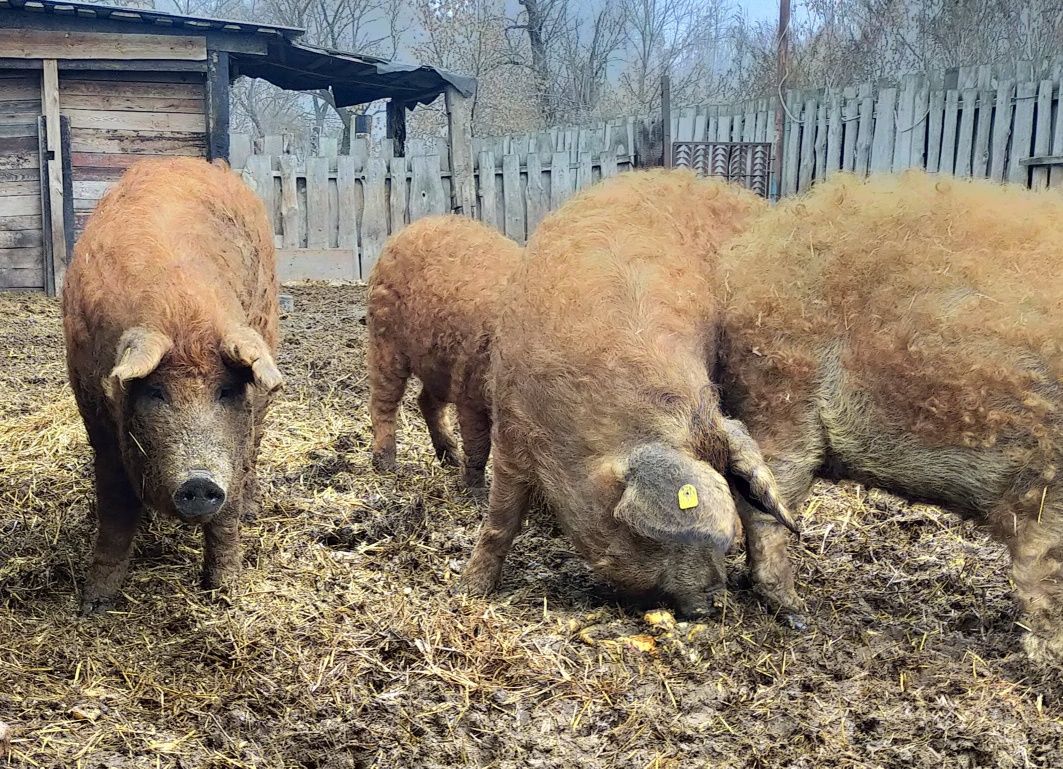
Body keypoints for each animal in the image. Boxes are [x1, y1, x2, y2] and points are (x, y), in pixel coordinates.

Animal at [62, 156, 282, 612]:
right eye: (156, 392)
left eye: (227, 391)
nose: (199, 481)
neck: (183, 314)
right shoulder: (96, 416)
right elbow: (114, 505)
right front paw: (93, 604)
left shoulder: (234, 441)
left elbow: (227, 514)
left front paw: (225, 594)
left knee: (255, 453)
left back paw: (253, 510)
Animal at [367, 211, 525, 487]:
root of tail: (412, 228)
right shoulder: (471, 388)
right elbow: (478, 444)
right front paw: (476, 491)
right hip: (384, 339)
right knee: (383, 402)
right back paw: (386, 465)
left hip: (438, 366)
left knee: (425, 401)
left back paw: (450, 459)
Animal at [714, 170, 1063, 663]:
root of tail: (749, 255)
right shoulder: (1044, 478)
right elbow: (1044, 565)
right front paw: (1048, 657)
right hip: (781, 400)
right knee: (763, 504)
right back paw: (797, 611)